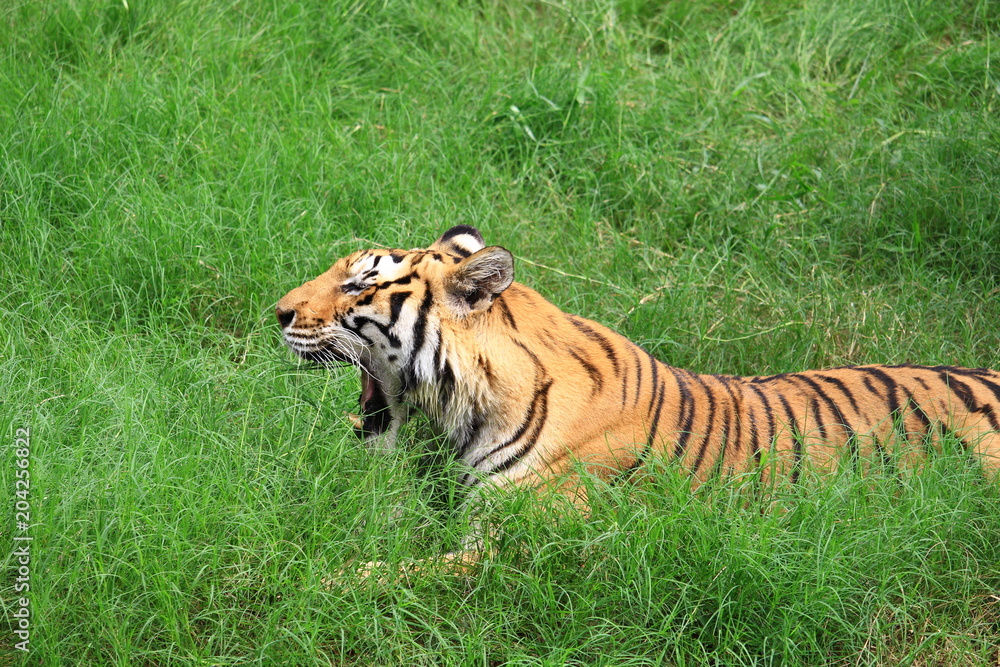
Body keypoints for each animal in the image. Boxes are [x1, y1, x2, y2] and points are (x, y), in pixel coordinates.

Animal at [276, 225, 1000, 575]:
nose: (278, 312)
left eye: (358, 284)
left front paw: (296, 580)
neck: (459, 413)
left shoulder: (517, 547)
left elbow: (380, 573)